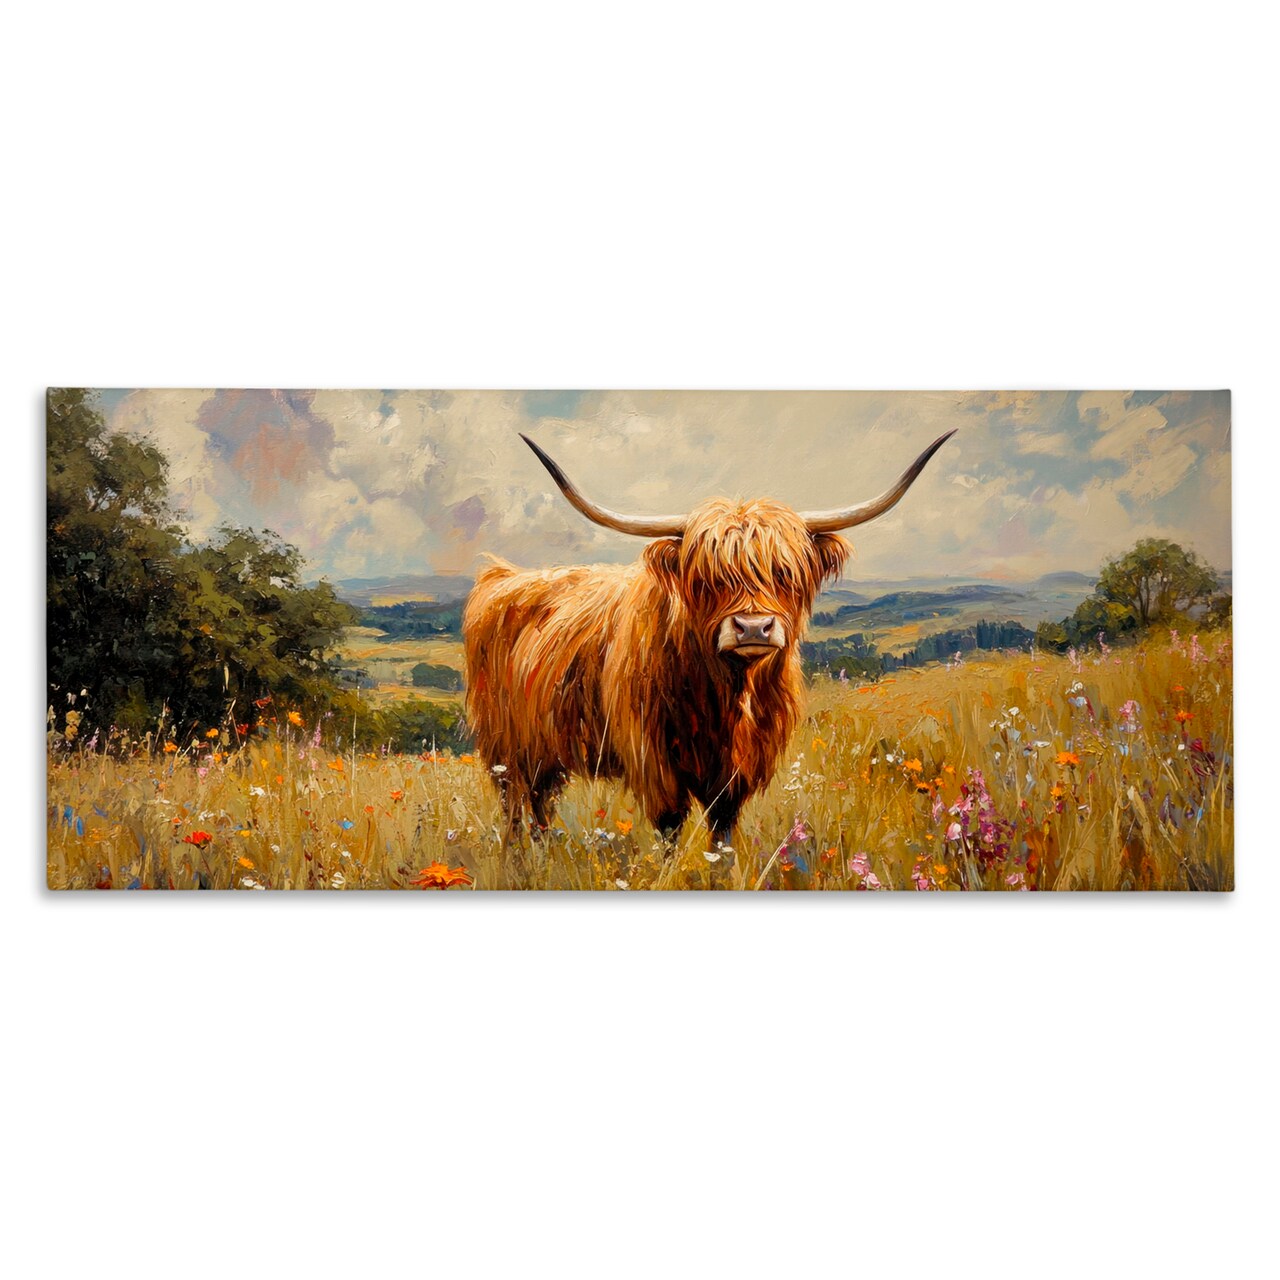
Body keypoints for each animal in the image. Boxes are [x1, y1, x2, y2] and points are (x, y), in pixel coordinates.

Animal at [463, 428, 956, 850]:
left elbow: (722, 839)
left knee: (541, 806)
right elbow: (669, 832)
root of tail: (501, 574)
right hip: (505, 747)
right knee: (514, 809)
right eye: (709, 576)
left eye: (785, 572)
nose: (753, 628)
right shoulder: (655, 764)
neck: (726, 697)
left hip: (544, 751)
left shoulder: (737, 775)